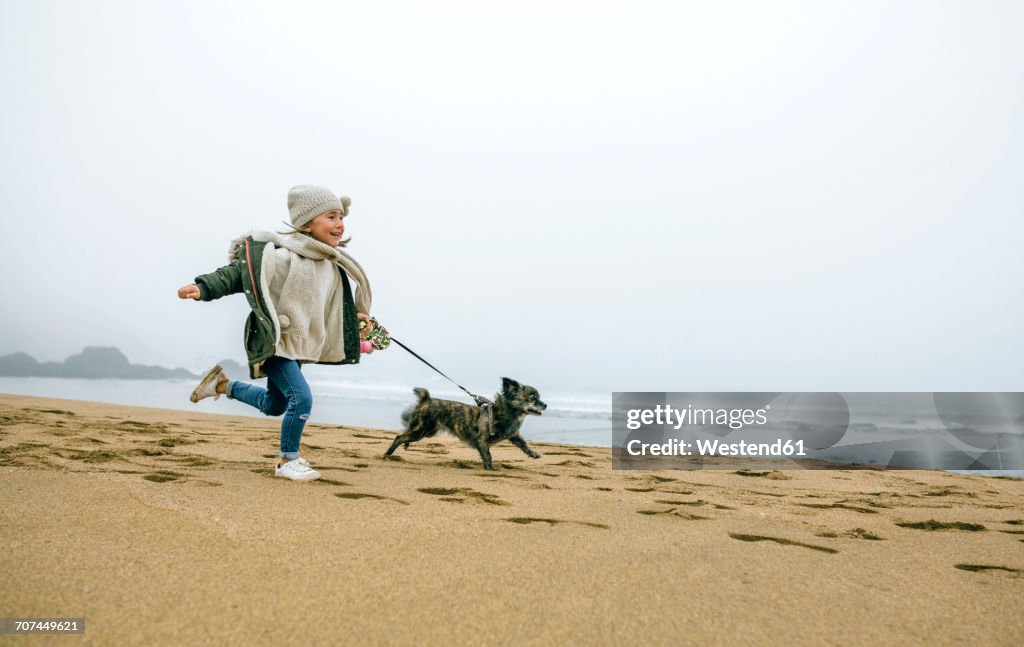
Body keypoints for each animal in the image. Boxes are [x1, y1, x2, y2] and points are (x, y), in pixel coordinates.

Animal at [385, 374, 544, 470]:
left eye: (539, 398)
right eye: (533, 399)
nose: (545, 405)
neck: (507, 413)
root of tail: (426, 400)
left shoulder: (513, 435)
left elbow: (524, 444)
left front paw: (533, 453)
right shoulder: (482, 440)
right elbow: (488, 455)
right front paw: (490, 468)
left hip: (426, 431)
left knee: (404, 436)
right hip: (421, 430)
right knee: (399, 437)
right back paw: (388, 454)